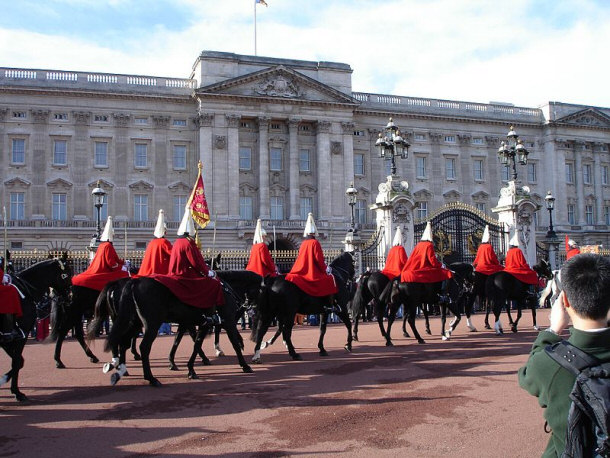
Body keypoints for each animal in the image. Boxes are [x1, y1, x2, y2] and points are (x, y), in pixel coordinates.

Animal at [0, 258, 71, 400]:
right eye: (67, 275)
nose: (70, 297)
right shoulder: (22, 334)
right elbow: (17, 361)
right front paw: (16, 391)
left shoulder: (7, 339)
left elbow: (19, 361)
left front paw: (5, 381)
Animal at [98, 276, 251, 386]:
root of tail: (134, 282)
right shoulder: (227, 321)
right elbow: (234, 344)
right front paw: (245, 365)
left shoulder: (195, 324)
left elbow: (189, 343)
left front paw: (188, 368)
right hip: (151, 324)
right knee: (143, 346)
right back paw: (150, 378)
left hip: (133, 323)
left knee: (123, 343)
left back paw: (121, 370)